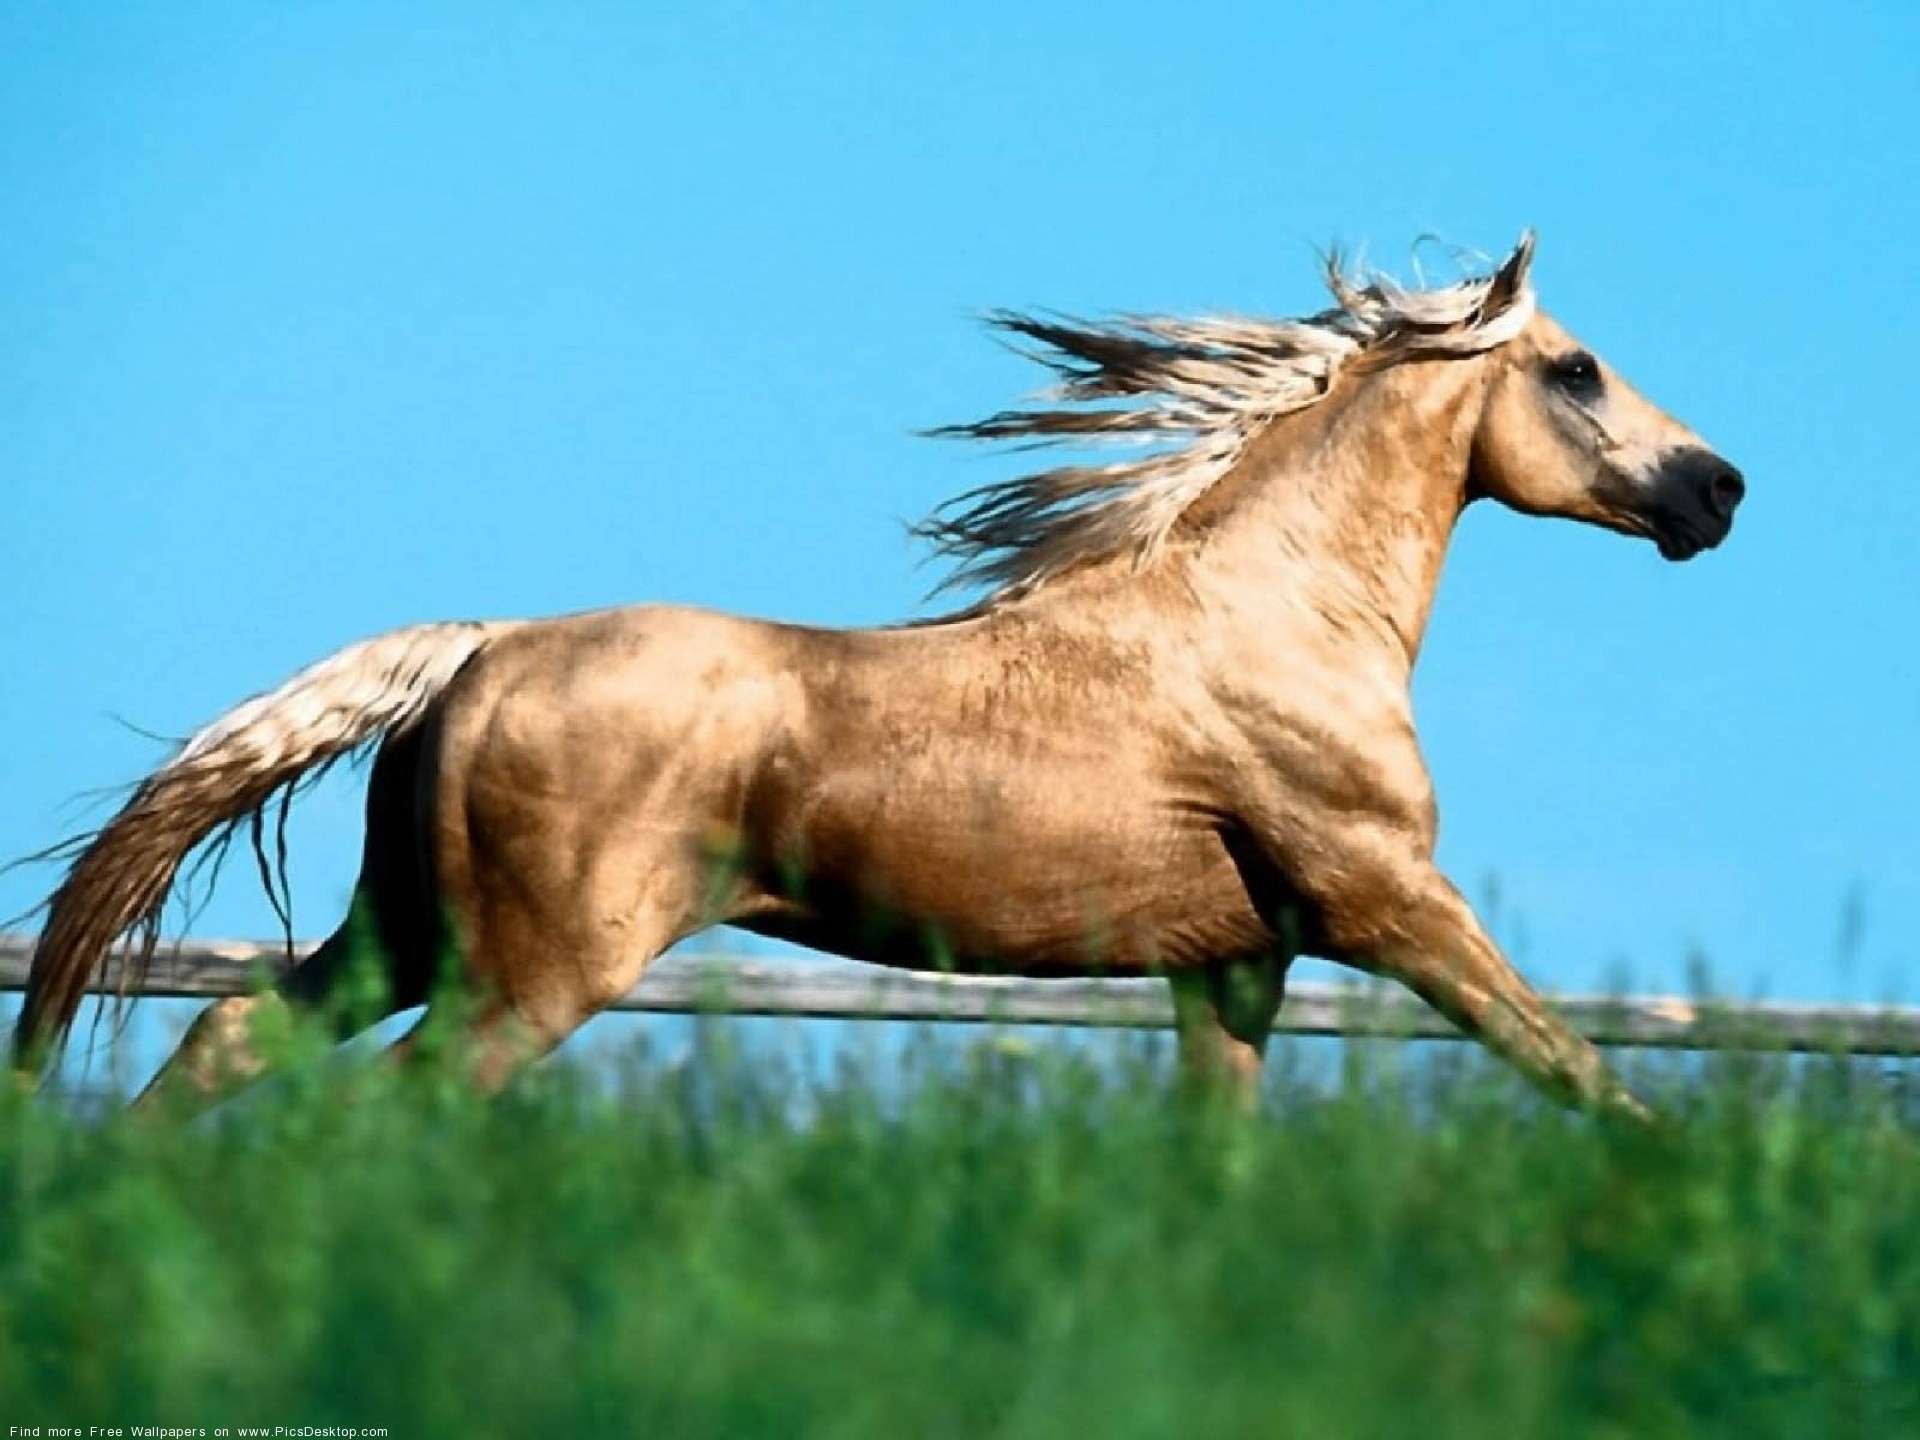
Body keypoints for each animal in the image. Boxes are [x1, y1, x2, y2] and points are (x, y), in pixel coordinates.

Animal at [15, 237, 1751, 1113]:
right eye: (1578, 370)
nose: (1719, 489)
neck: (1269, 621)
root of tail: (481, 646)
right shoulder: (1390, 908)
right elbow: (1591, 1081)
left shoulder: (1234, 970)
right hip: (534, 972)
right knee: (390, 1110)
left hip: (405, 935)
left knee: (225, 1041)